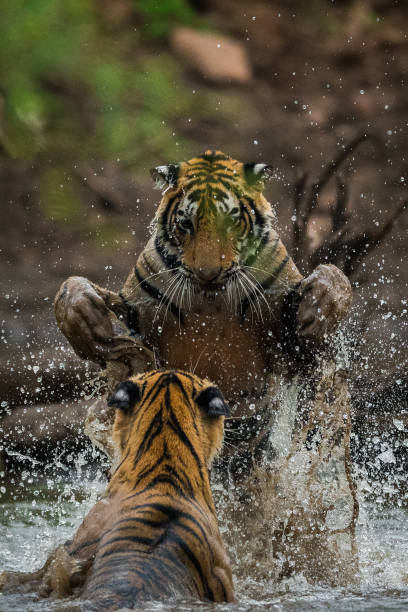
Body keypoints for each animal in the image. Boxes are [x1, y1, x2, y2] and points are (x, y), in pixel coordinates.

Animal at [55, 151, 356, 584]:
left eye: (232, 221)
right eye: (186, 224)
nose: (208, 274)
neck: (210, 300)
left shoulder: (287, 337)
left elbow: (335, 276)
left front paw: (321, 307)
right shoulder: (134, 315)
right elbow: (71, 286)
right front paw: (85, 320)